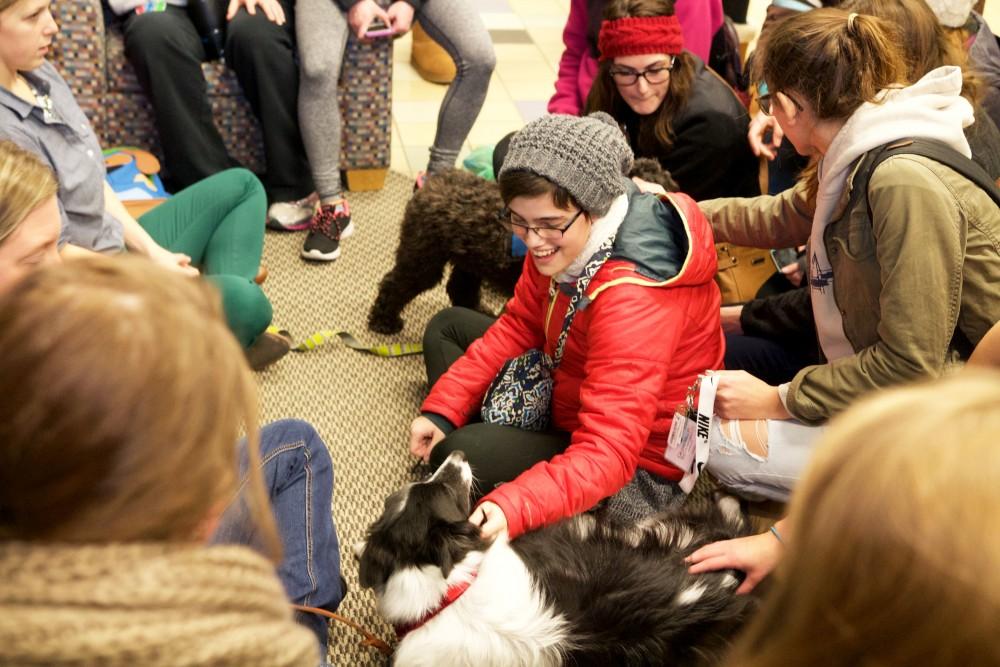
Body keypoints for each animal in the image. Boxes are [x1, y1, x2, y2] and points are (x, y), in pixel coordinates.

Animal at [368, 157, 680, 334]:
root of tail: (431, 183)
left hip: (470, 260)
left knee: (460, 288)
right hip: (424, 257)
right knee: (396, 282)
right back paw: (384, 320)